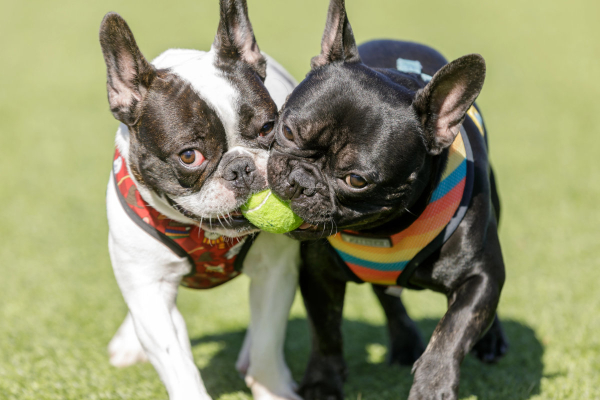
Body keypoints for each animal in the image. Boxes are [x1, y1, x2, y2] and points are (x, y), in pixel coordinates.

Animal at [101, 1, 302, 398]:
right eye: (189, 156)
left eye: (268, 128)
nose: (242, 168)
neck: (204, 234)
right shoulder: (150, 291)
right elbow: (176, 361)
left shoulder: (276, 271)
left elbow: (269, 340)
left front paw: (272, 387)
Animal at [270, 0, 508, 400]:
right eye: (286, 131)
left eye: (356, 180)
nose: (301, 181)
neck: (383, 229)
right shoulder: (319, 275)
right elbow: (326, 333)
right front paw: (322, 384)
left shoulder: (480, 276)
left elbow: (453, 332)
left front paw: (433, 384)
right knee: (387, 296)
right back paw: (404, 341)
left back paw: (491, 342)